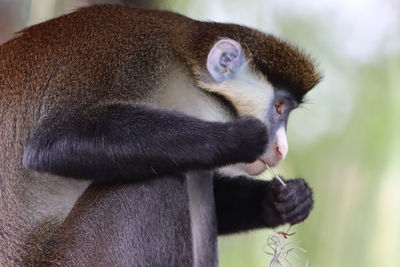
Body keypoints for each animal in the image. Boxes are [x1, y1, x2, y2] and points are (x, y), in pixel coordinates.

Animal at [0, 4, 320, 267]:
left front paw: (284, 198)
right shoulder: (129, 54)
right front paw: (241, 137)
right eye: (279, 108)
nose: (281, 149)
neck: (181, 71)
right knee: (156, 182)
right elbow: (53, 142)